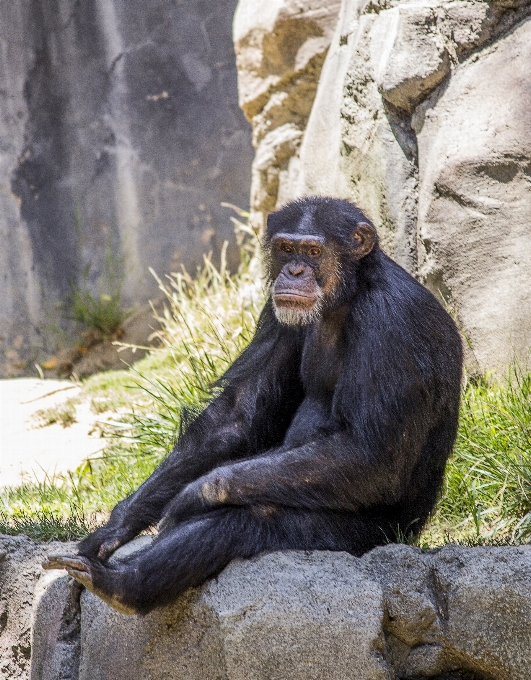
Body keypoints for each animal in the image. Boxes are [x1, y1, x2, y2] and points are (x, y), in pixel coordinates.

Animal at [44, 194, 462, 612]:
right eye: (286, 249)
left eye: (314, 251)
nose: (294, 270)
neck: (348, 294)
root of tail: (410, 536)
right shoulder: (278, 316)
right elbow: (238, 415)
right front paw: (113, 529)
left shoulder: (390, 323)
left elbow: (371, 454)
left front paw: (194, 494)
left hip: (366, 535)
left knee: (248, 517)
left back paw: (122, 584)